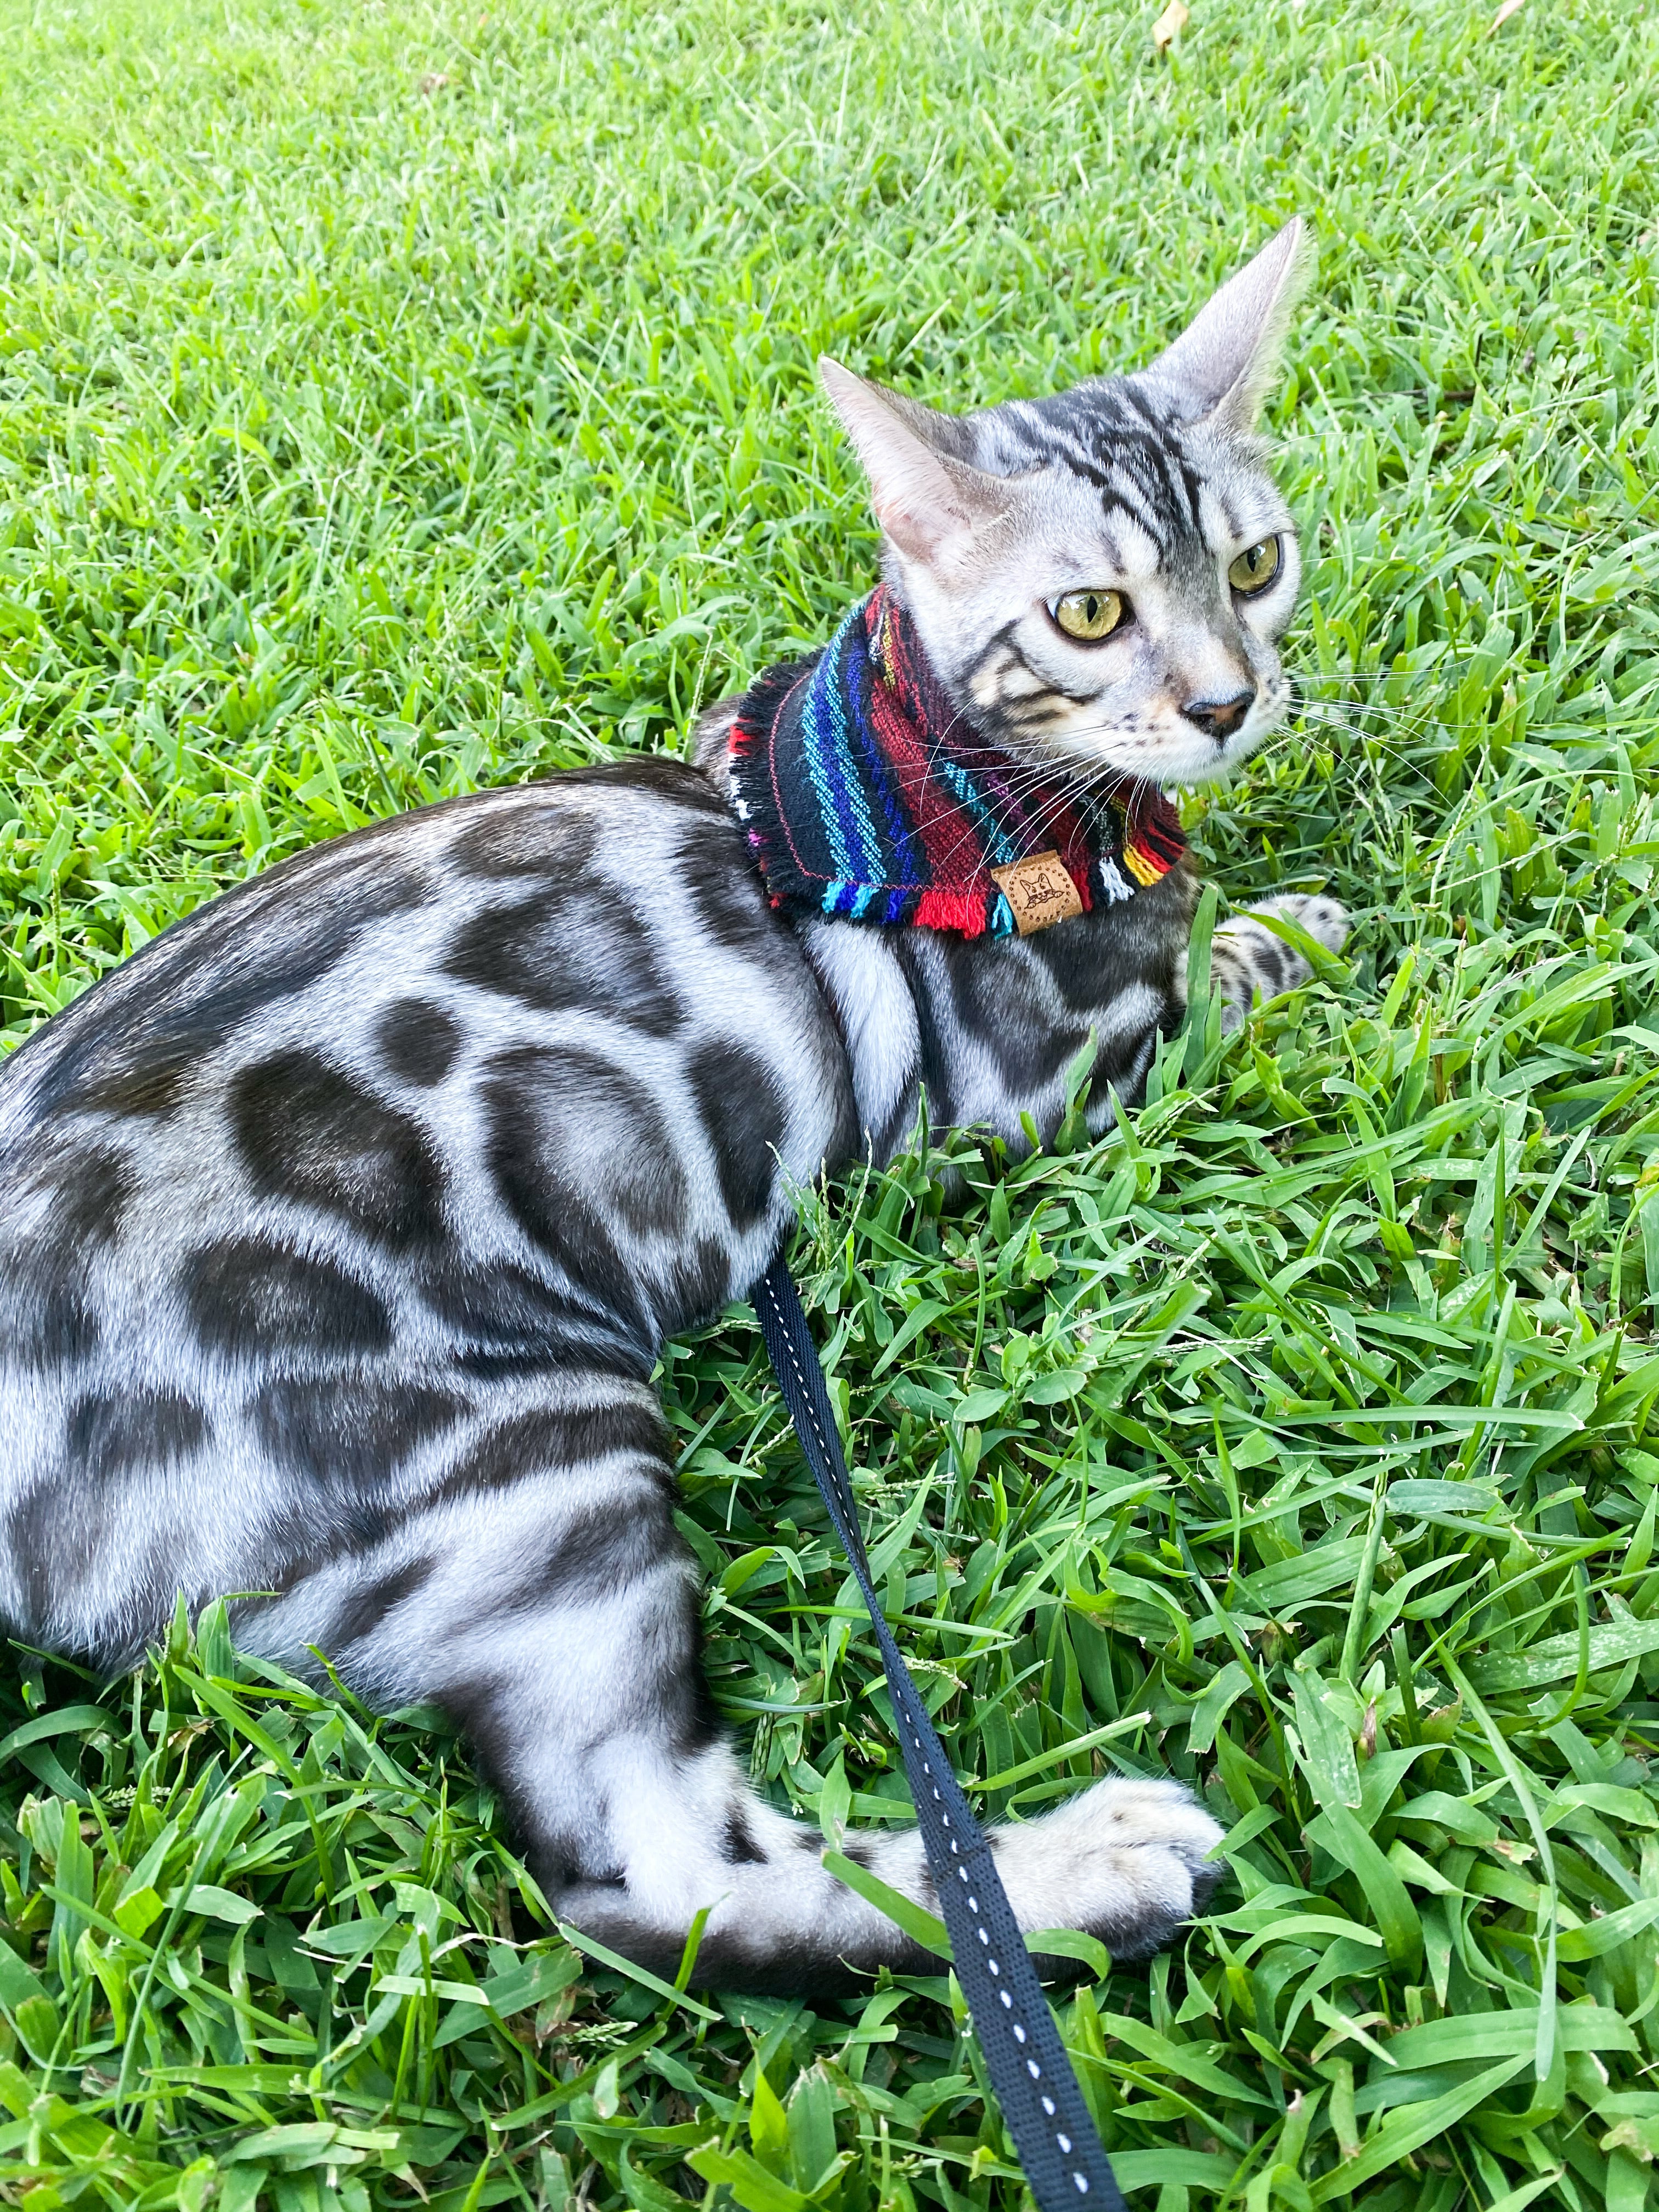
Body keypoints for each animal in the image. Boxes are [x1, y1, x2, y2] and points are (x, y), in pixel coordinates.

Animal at [0, 216, 1353, 1999]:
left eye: (1254, 569)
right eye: (1088, 610)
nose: (1228, 701)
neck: (942, 778)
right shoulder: (1051, 1079)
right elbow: (1227, 966)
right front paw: (1303, 926)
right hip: (522, 1463)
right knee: (646, 1877)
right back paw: (1088, 1877)